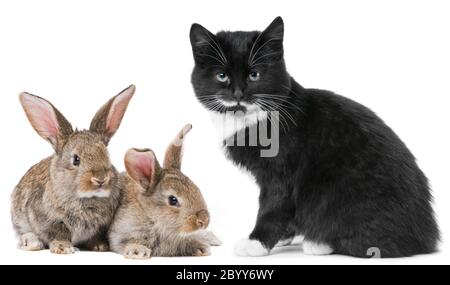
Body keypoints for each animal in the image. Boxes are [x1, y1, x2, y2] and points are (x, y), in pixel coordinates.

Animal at [11, 84, 135, 253]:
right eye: (76, 159)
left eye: (107, 156)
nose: (101, 179)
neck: (87, 198)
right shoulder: (49, 220)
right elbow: (58, 233)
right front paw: (63, 248)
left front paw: (100, 246)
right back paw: (32, 243)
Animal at [109, 123, 221, 258]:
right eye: (173, 200)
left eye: (197, 189)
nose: (204, 220)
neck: (152, 217)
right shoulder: (121, 235)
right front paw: (138, 251)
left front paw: (201, 248)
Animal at [188, 16, 438, 256]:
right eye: (221, 76)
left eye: (254, 75)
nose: (238, 94)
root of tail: (426, 239)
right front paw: (284, 237)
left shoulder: (281, 173)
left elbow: (273, 206)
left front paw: (256, 243)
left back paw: (319, 243)